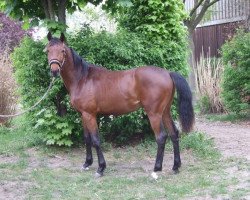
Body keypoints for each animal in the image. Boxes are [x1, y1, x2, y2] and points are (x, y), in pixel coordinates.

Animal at [47, 32, 195, 178]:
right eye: (47, 50)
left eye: (62, 51)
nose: (54, 71)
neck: (82, 79)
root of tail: (168, 73)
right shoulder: (83, 114)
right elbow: (87, 138)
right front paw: (87, 163)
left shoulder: (90, 115)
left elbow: (95, 140)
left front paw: (100, 168)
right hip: (165, 112)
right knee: (174, 134)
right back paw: (175, 166)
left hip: (154, 114)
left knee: (161, 137)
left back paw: (156, 170)